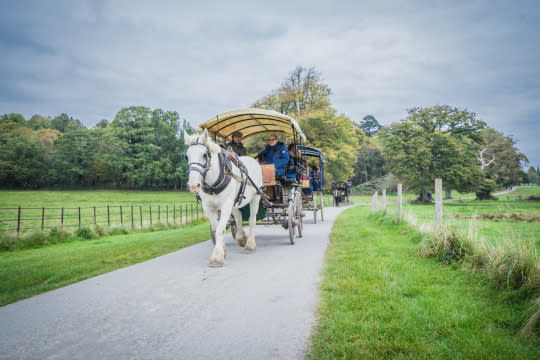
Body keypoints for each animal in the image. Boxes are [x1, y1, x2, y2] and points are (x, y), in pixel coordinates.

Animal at [185, 129, 262, 268]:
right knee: (238, 217)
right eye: (186, 156)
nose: (194, 185)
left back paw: (250, 245)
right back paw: (241, 238)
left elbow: (220, 229)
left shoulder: (226, 204)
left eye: (205, 155)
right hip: (235, 202)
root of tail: (252, 160)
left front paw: (217, 258)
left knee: (252, 221)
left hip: (256, 197)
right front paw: (223, 251)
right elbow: (216, 229)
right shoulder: (209, 207)